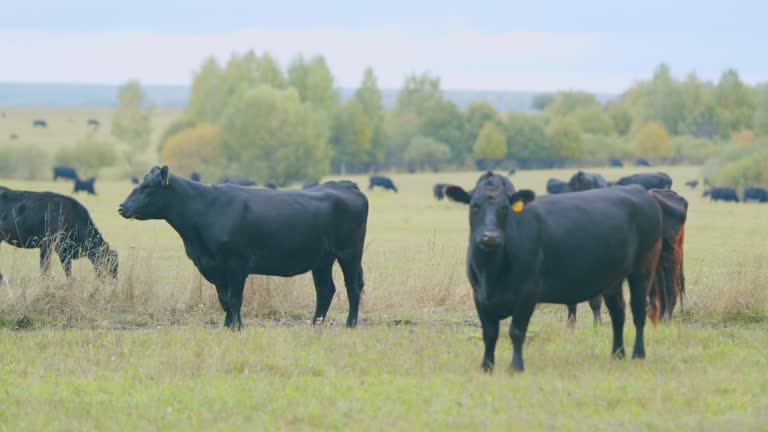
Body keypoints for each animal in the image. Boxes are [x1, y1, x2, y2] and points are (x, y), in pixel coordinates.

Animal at [118, 167, 370, 330]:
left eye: (147, 186)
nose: (121, 207)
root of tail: (345, 184)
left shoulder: (236, 264)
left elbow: (234, 299)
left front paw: (237, 327)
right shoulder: (213, 267)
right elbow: (223, 300)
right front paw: (227, 326)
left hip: (349, 253)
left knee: (353, 287)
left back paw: (350, 324)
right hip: (322, 260)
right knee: (325, 290)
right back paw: (315, 324)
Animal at [444, 172, 660, 372]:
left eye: (505, 208)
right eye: (474, 206)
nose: (491, 236)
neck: (490, 273)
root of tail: (637, 190)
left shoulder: (527, 293)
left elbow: (516, 331)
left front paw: (516, 367)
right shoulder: (479, 296)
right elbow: (489, 334)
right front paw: (486, 367)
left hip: (643, 268)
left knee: (638, 311)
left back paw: (638, 354)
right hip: (612, 280)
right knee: (618, 314)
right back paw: (617, 354)